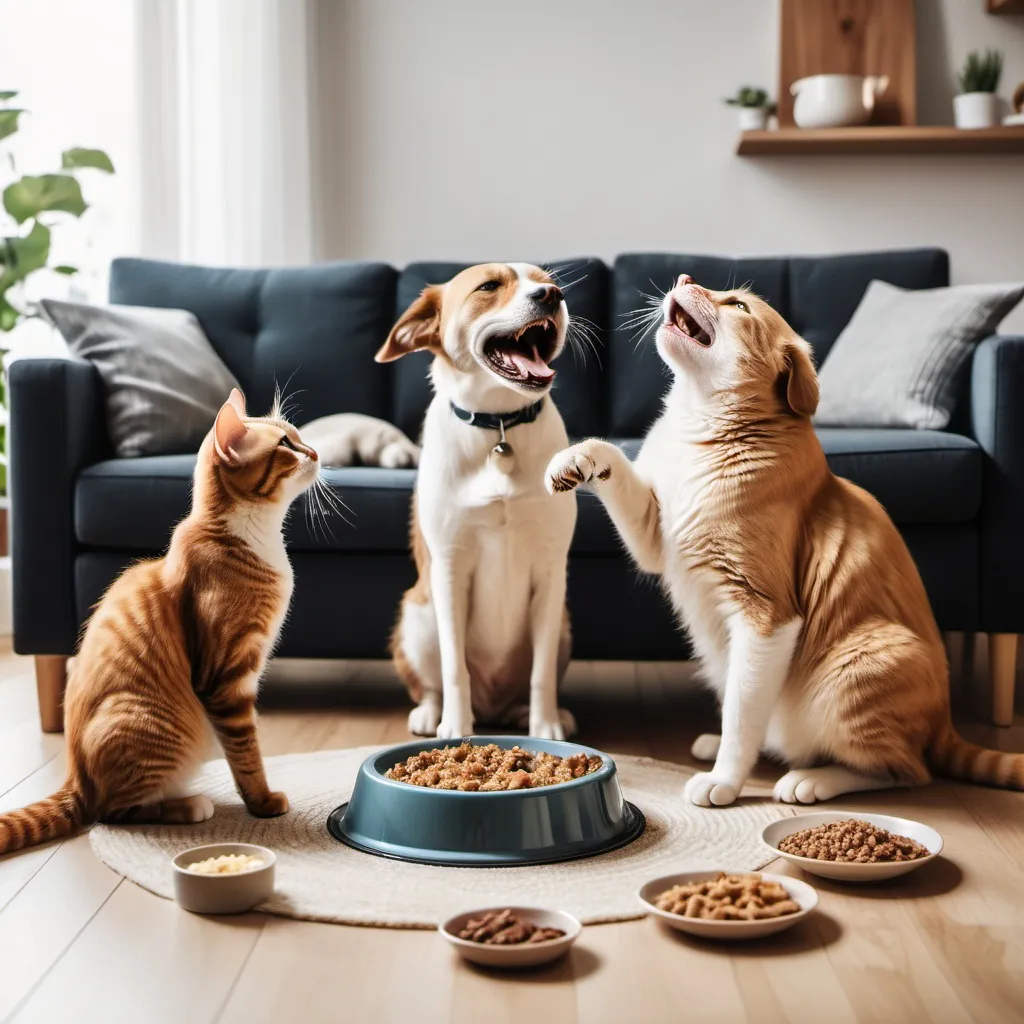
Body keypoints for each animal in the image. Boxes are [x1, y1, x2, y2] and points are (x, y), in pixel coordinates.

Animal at [1, 387, 323, 851]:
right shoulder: (228, 680)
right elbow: (246, 752)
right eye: (286, 445)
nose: (315, 452)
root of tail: (75, 780)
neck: (255, 539)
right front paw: (262, 801)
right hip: (144, 722)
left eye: (297, 437)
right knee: (110, 812)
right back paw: (187, 806)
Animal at [376, 262, 581, 737]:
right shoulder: (451, 568)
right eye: (488, 286)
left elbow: (542, 672)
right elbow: (454, 667)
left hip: (562, 622)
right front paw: (456, 728)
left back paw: (533, 713)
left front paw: (545, 725)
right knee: (432, 683)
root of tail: (493, 707)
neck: (499, 426)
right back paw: (432, 714)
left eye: (549, 281)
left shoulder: (551, 569)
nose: (552, 295)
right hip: (418, 615)